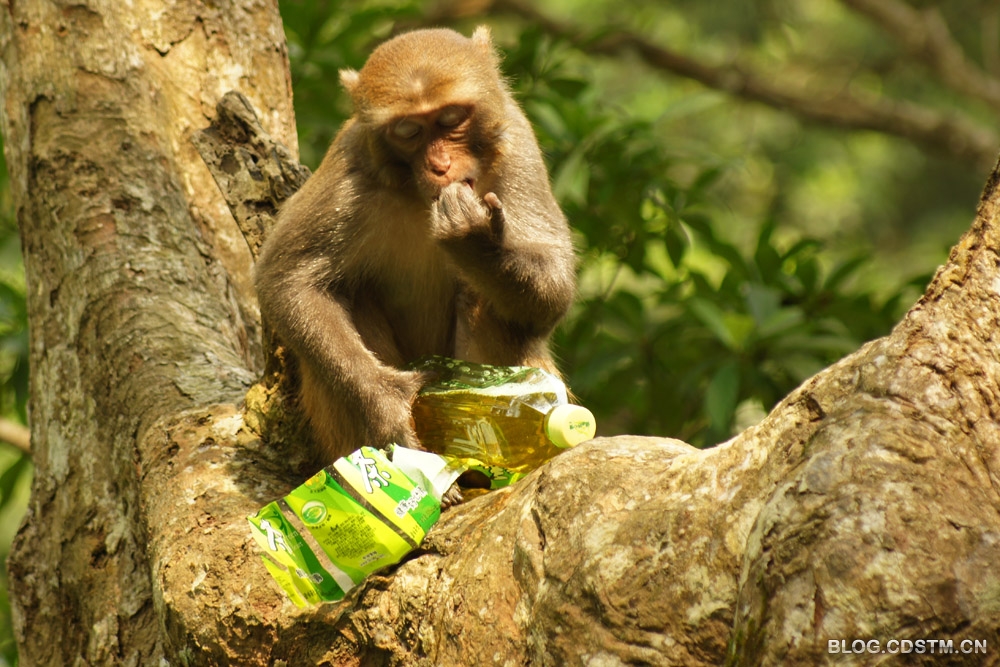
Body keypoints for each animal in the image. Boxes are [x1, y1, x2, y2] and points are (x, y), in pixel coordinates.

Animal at [254, 26, 576, 472]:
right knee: (350, 289)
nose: (440, 166)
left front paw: (477, 246)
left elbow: (554, 284)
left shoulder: (518, 144)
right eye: (408, 131)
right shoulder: (350, 165)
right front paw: (389, 403)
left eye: (451, 119)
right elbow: (286, 279)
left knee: (482, 296)